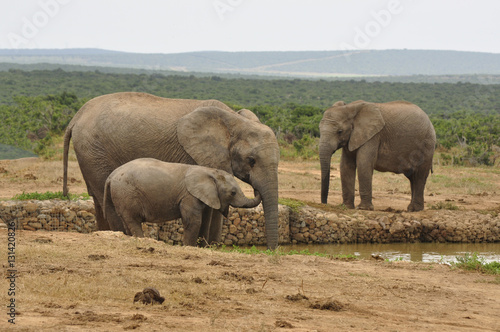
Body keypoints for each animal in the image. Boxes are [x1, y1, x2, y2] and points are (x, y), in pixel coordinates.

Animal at [105, 158, 262, 246]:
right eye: (233, 193)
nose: (250, 177)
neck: (209, 171)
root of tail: (110, 176)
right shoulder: (189, 196)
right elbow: (192, 221)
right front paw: (188, 247)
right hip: (127, 193)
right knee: (133, 220)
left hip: (121, 195)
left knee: (125, 220)